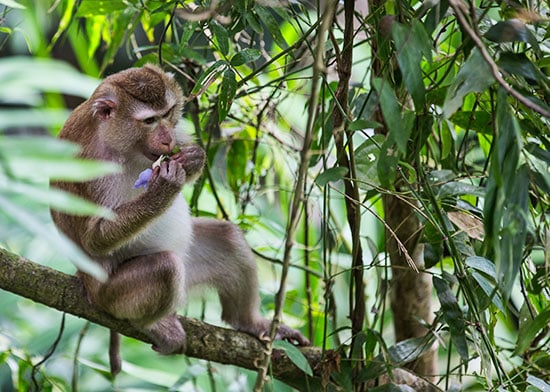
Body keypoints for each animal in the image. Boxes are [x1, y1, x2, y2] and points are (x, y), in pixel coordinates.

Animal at [49, 66, 310, 376]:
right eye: (149, 121)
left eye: (168, 113)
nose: (166, 139)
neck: (117, 141)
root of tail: (86, 284)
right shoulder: (90, 164)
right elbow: (95, 239)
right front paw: (162, 189)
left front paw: (194, 158)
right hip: (109, 297)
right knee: (165, 266)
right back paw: (152, 324)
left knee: (228, 237)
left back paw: (249, 322)